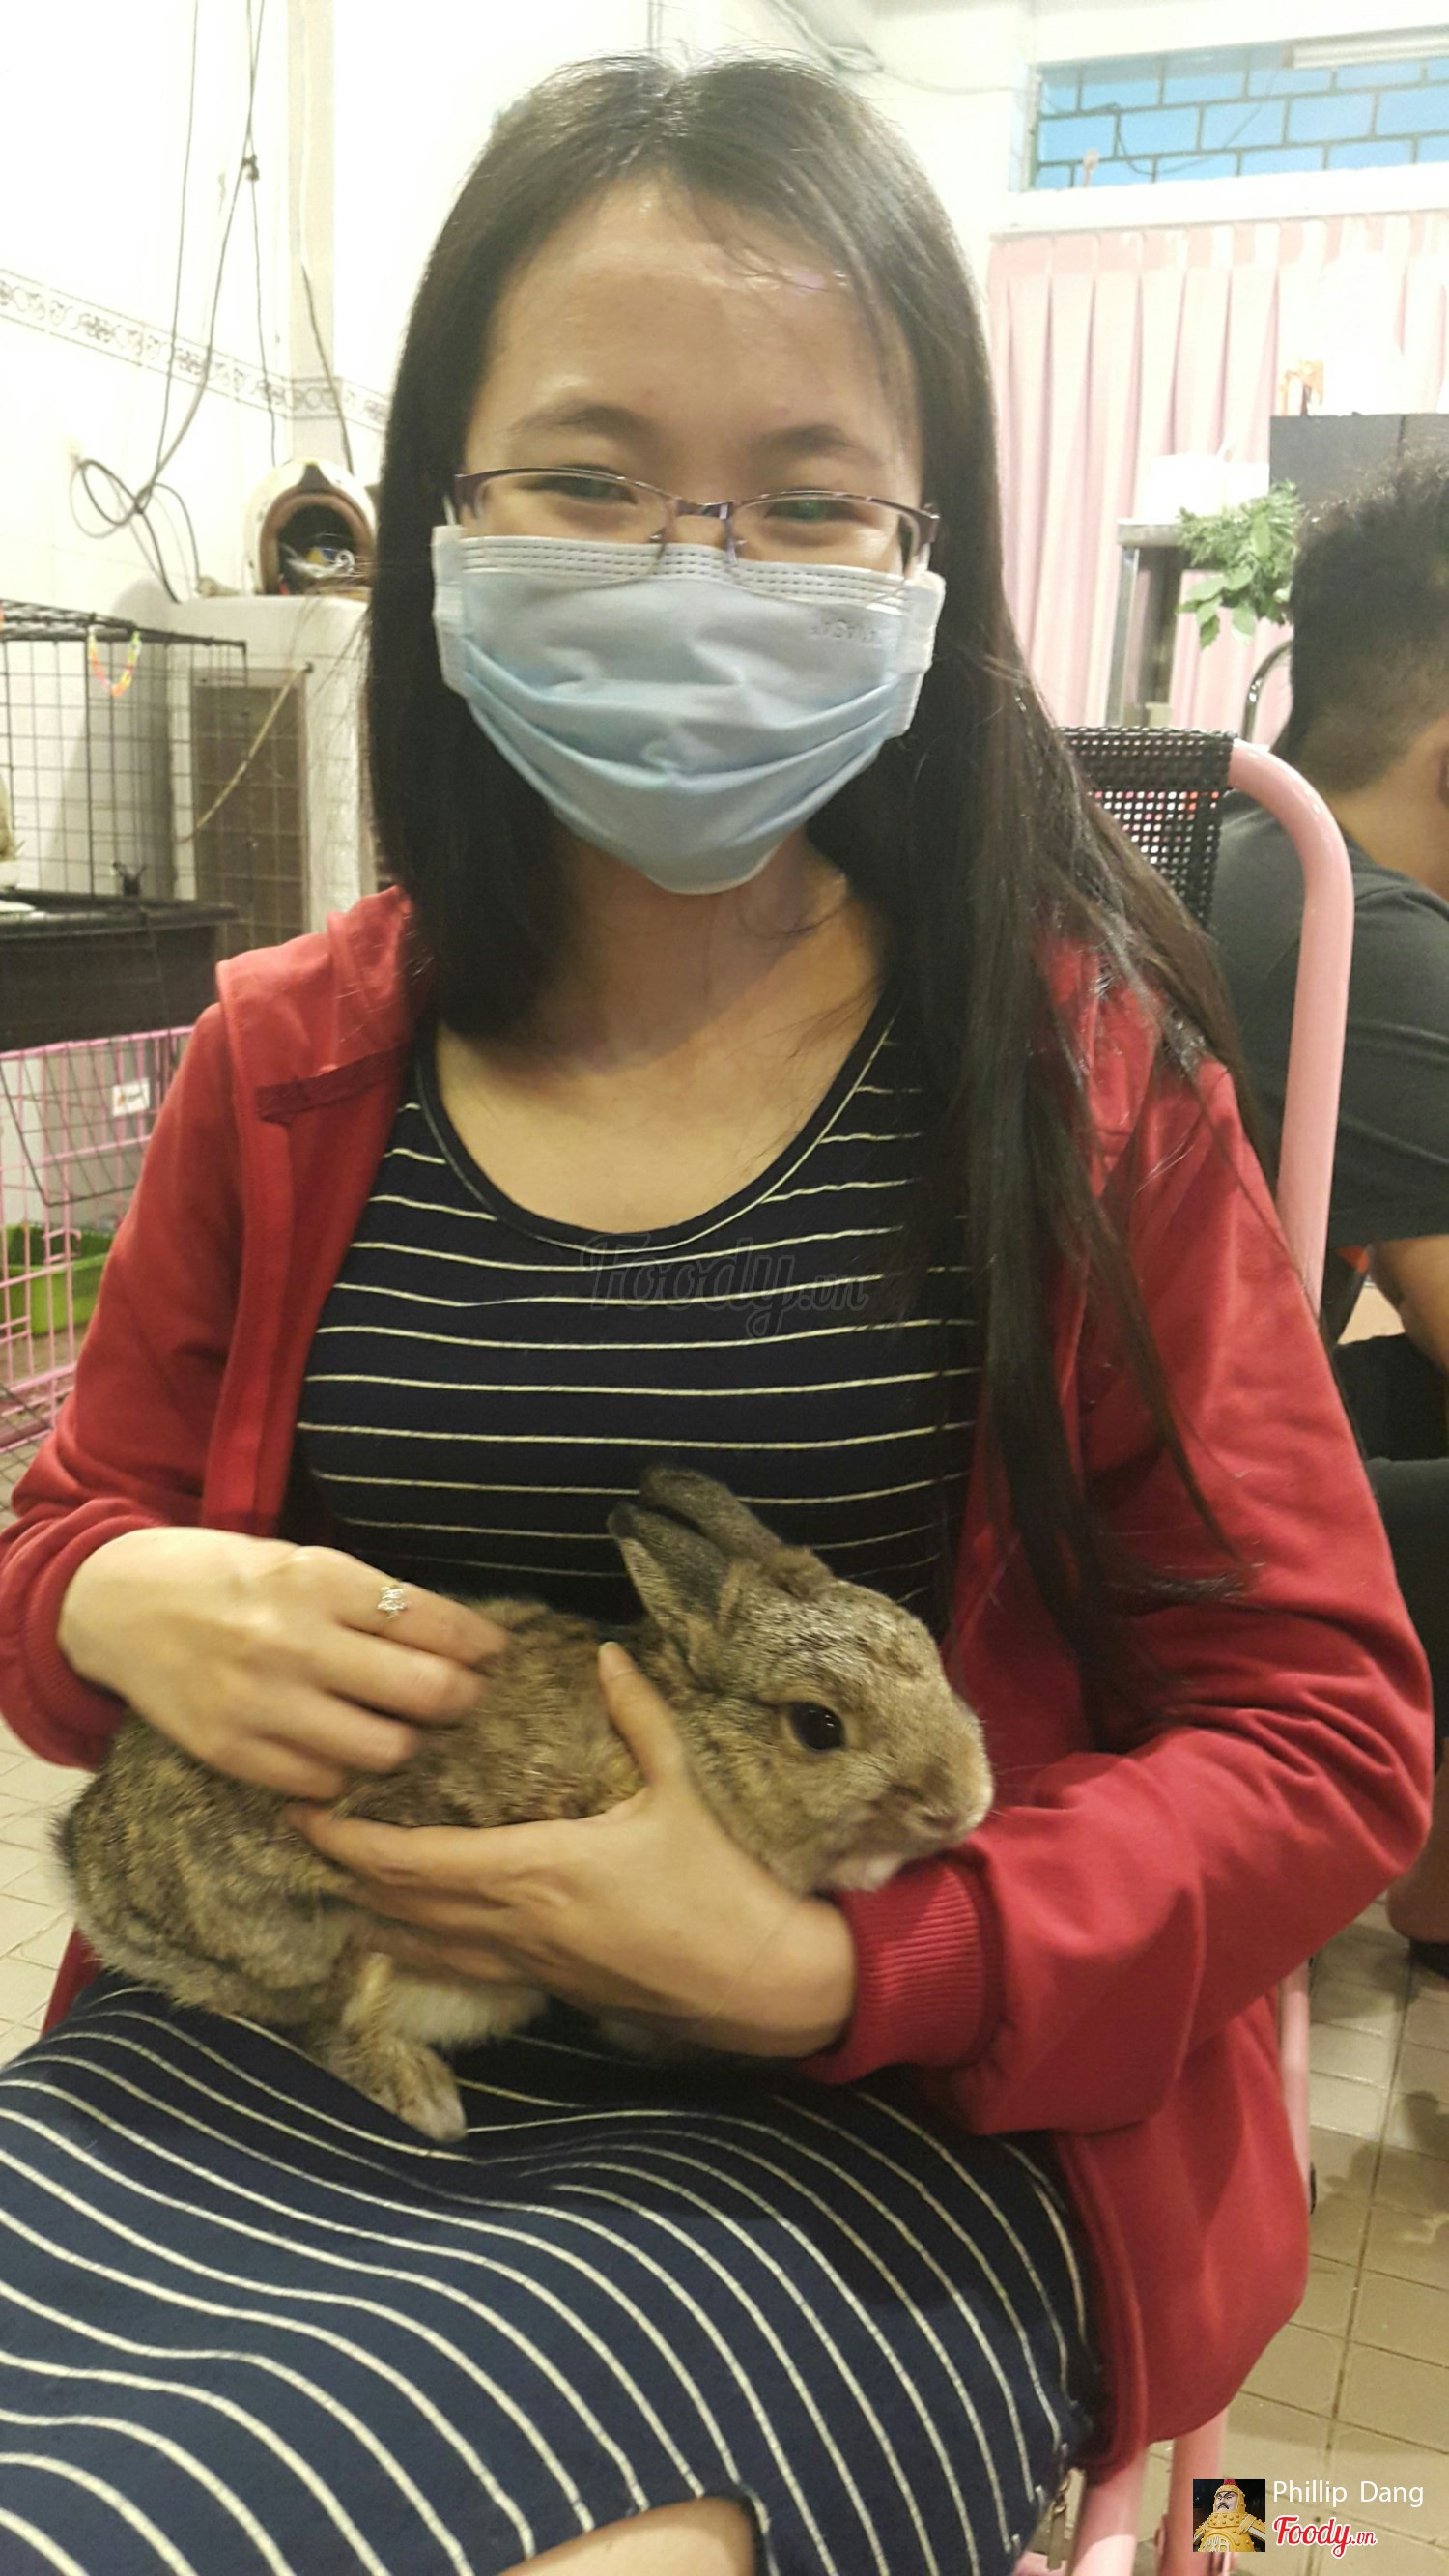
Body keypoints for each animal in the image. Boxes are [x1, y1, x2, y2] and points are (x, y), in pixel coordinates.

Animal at [58, 1465, 992, 2142]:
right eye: (818, 1726)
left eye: (930, 1653)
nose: (963, 1803)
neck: (696, 1731)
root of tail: (98, 1882)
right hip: (337, 1936)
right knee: (330, 2026)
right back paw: (428, 2103)